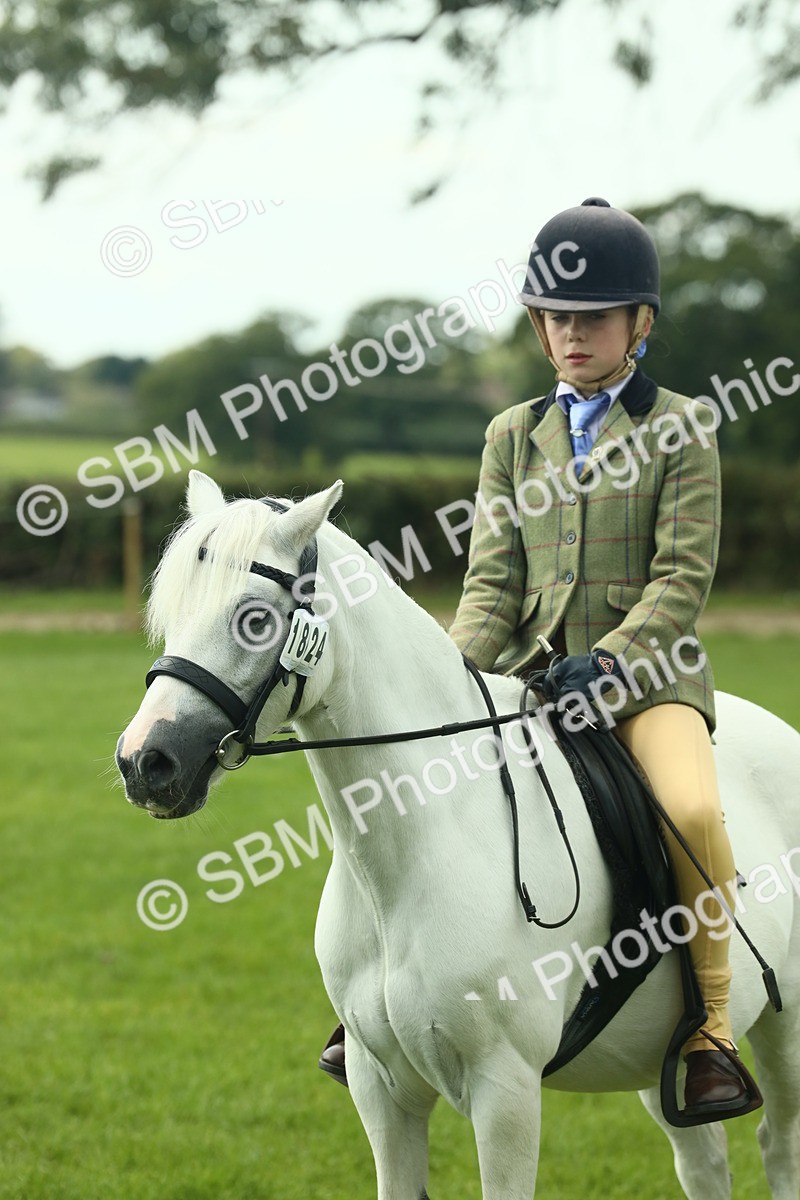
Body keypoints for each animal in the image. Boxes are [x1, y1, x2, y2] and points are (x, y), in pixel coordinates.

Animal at [116, 470, 800, 1200]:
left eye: (253, 619)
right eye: (172, 613)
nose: (144, 762)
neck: (415, 853)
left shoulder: (506, 1090)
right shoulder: (380, 1089)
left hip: (783, 1026)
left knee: (779, 1146)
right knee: (703, 1158)